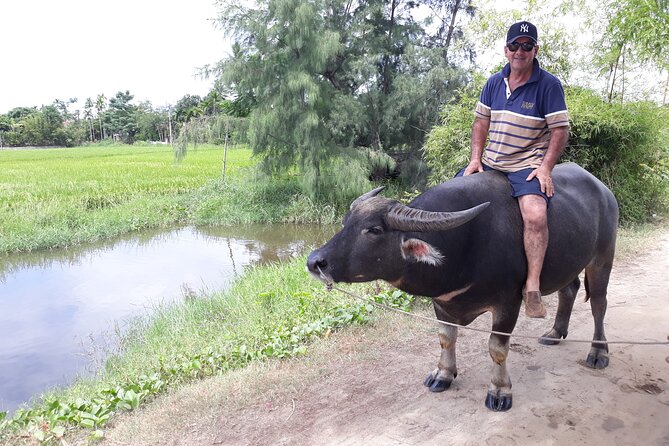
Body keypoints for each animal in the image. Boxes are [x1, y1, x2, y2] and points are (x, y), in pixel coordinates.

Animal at [307, 162, 618, 411]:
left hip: (602, 256)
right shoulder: (441, 302)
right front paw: (443, 374)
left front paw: (500, 391)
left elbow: (497, 348)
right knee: (570, 288)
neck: (463, 247)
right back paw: (555, 332)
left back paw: (598, 352)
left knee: (599, 303)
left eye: (374, 230)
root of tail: (604, 191)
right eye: (346, 222)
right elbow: (446, 337)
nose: (314, 261)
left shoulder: (508, 303)